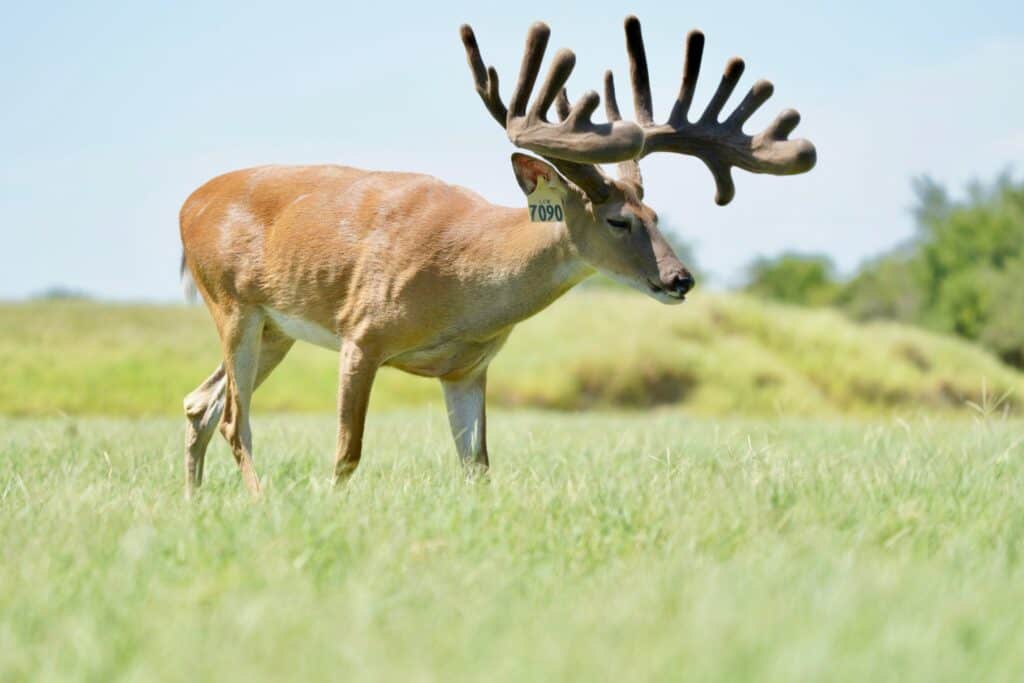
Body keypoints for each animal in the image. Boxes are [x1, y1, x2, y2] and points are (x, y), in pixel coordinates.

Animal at [178, 16, 816, 497]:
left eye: (658, 217)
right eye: (619, 220)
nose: (681, 279)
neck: (466, 284)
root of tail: (188, 205)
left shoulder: (468, 368)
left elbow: (478, 466)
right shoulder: (362, 333)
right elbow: (346, 453)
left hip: (275, 331)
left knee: (198, 403)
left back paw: (195, 504)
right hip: (232, 305)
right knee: (233, 418)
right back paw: (257, 503)